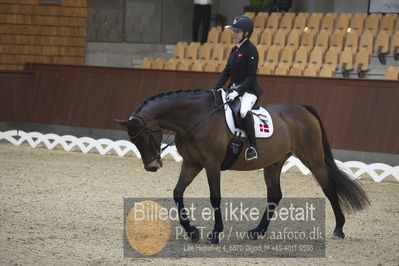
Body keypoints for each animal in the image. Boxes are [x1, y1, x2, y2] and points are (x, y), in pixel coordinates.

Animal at [114, 90, 370, 244]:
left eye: (145, 136)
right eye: (134, 140)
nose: (152, 166)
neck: (195, 118)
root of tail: (302, 108)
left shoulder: (211, 164)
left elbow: (215, 197)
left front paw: (215, 234)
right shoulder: (192, 162)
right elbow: (178, 192)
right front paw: (192, 231)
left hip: (312, 157)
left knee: (328, 187)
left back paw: (339, 229)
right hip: (274, 163)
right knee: (275, 194)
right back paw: (257, 232)